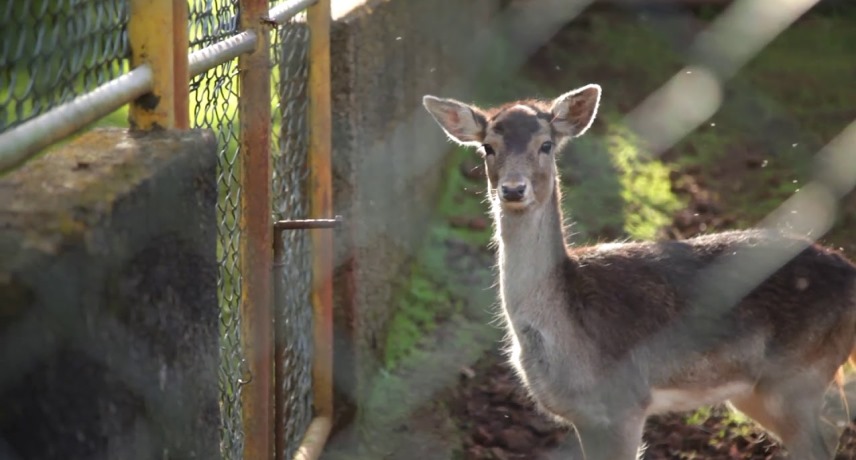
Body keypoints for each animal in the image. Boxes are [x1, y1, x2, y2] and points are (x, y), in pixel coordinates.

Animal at [424, 83, 856, 460]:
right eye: (488, 147)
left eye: (545, 144)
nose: (513, 189)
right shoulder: (583, 416)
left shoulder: (624, 406)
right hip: (758, 391)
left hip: (795, 378)